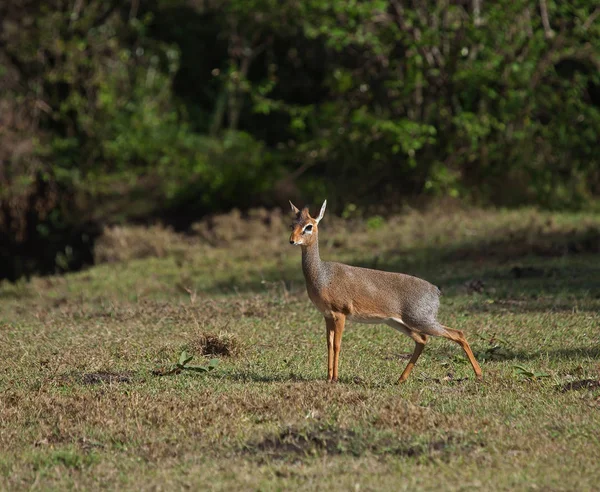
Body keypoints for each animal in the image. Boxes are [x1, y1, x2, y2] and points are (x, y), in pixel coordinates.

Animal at [290, 200, 482, 384]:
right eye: (293, 224)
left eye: (309, 226)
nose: (292, 240)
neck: (321, 275)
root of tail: (436, 290)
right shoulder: (327, 315)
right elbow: (329, 345)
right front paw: (329, 378)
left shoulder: (340, 313)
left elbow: (337, 345)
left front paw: (335, 378)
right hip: (398, 322)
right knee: (422, 340)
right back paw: (400, 379)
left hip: (421, 320)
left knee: (457, 334)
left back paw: (479, 375)